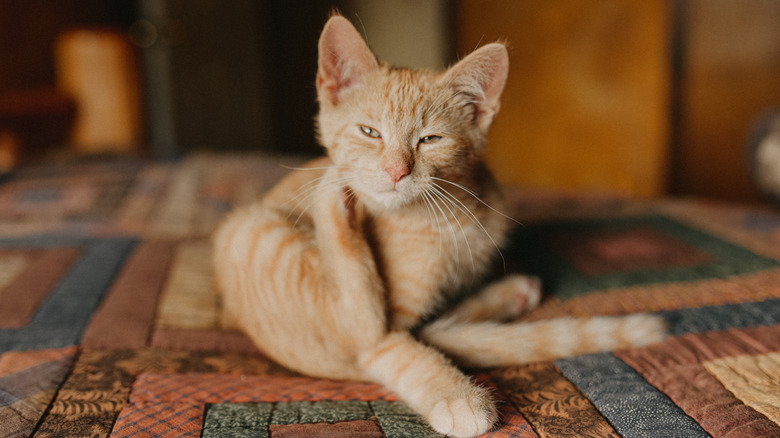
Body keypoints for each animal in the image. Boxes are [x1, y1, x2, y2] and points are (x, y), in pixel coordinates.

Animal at [213, 13, 664, 438]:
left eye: (430, 140)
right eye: (369, 132)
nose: (396, 171)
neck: (448, 217)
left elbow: (438, 331)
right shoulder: (388, 328)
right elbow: (401, 346)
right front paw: (458, 399)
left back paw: (512, 293)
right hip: (251, 235)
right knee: (362, 320)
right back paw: (332, 196)